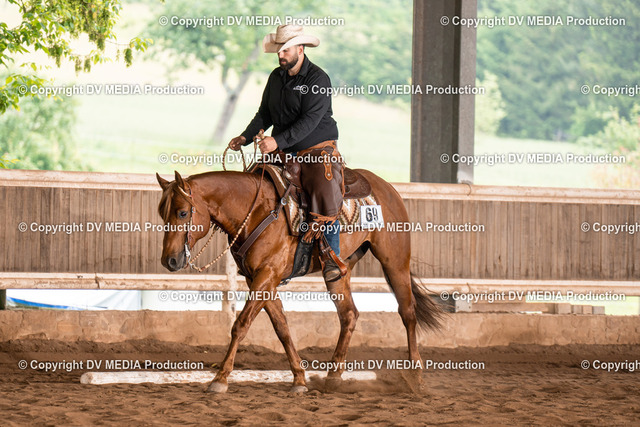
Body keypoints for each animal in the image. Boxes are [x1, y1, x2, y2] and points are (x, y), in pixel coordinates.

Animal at [156, 167, 442, 393]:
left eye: (182, 213)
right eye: (162, 213)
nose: (169, 260)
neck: (256, 210)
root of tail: (387, 187)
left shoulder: (266, 276)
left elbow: (241, 324)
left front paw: (220, 379)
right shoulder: (259, 280)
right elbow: (281, 328)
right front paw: (299, 379)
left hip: (395, 262)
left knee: (408, 312)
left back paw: (415, 376)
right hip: (339, 271)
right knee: (349, 315)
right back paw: (333, 376)